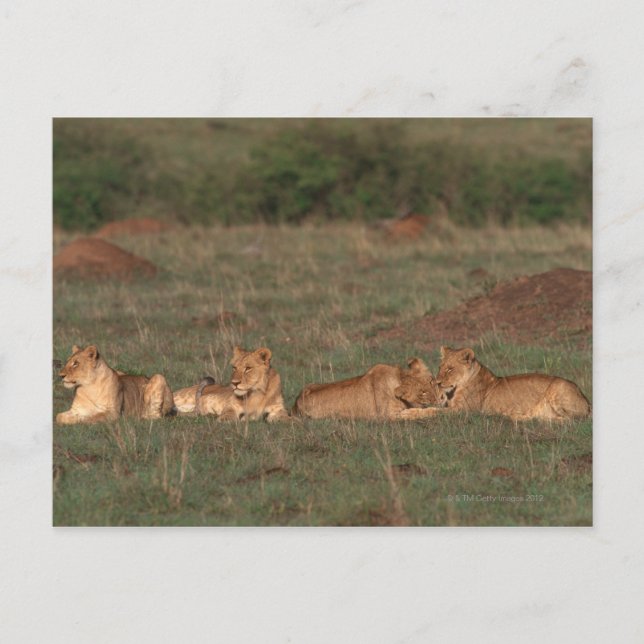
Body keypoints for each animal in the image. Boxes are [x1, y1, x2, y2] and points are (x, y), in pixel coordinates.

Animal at [292, 358, 442, 420]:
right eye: (423, 393)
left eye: (432, 382)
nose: (438, 400)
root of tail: (296, 402)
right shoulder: (388, 415)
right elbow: (417, 412)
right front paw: (439, 411)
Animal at [401, 346, 591, 421]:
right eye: (440, 368)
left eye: (450, 369)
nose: (438, 382)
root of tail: (586, 400)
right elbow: (430, 408)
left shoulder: (464, 412)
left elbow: (433, 411)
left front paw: (407, 413)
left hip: (558, 390)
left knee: (569, 420)